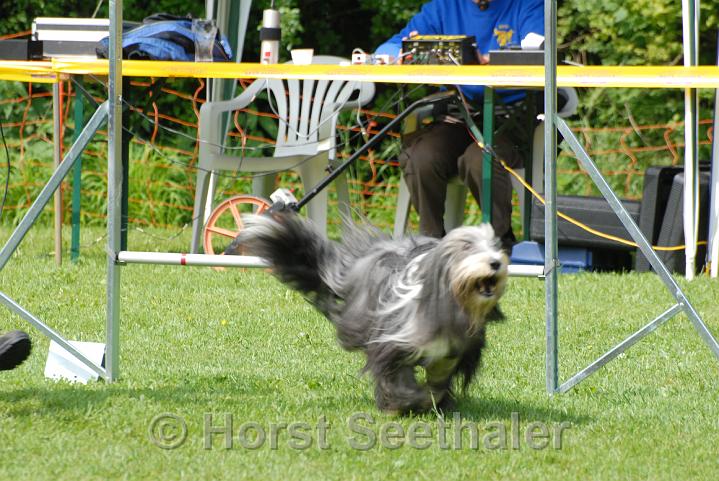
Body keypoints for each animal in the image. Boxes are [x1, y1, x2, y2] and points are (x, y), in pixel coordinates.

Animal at [225, 211, 508, 414]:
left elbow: (439, 378)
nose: (496, 262)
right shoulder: (391, 344)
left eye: (495, 245)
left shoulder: (455, 352)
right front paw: (403, 403)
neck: (447, 306)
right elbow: (397, 379)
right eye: (467, 247)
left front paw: (432, 400)